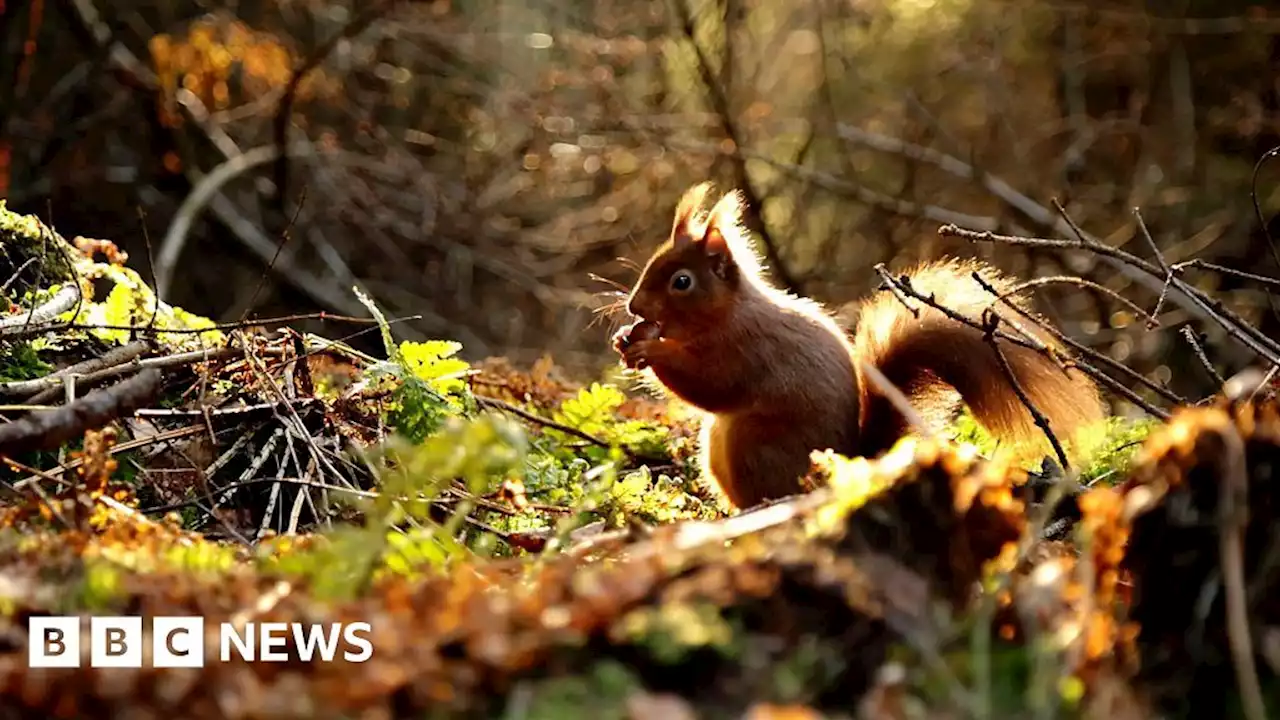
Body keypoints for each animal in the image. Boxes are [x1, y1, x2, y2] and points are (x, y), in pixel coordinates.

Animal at [614, 181, 1105, 507]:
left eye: (682, 282)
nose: (635, 306)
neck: (729, 313)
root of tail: (852, 461)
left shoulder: (747, 348)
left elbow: (709, 384)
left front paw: (650, 350)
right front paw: (625, 339)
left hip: (752, 445)